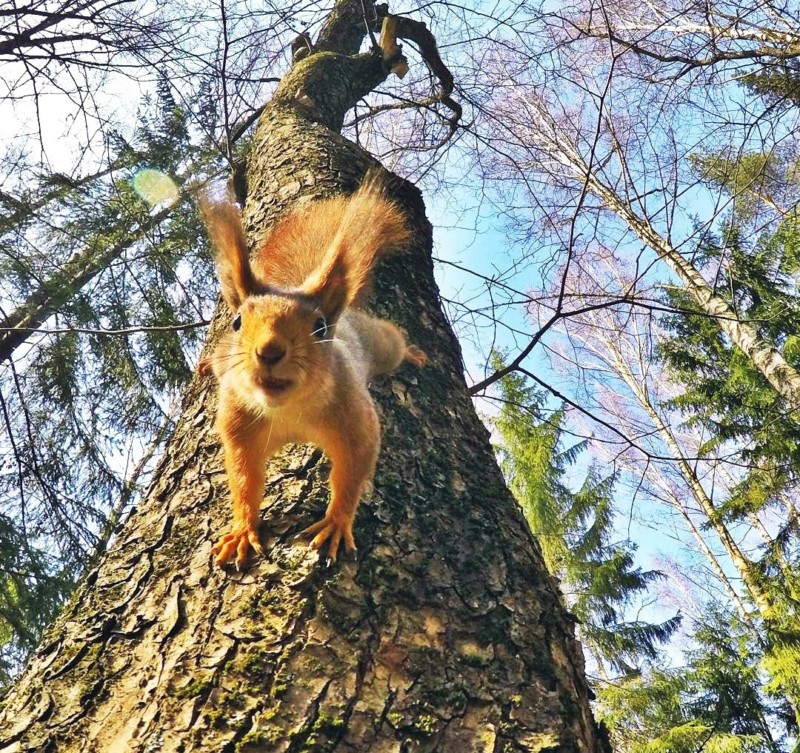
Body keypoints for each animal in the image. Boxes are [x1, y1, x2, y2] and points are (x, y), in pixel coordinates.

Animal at [198, 172, 424, 568]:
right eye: (238, 321)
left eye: (319, 328)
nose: (269, 351)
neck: (288, 410)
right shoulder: (239, 425)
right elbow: (244, 479)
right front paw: (242, 531)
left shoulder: (354, 418)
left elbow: (353, 470)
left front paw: (335, 523)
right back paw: (208, 363)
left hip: (379, 344)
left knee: (393, 341)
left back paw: (412, 354)